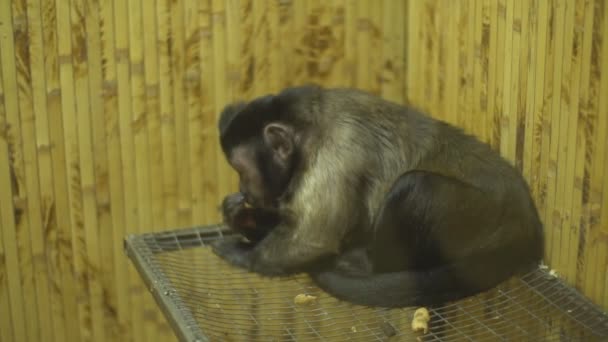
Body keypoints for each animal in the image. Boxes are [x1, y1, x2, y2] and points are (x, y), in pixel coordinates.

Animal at [211, 85, 544, 308]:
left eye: (241, 170)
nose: (244, 188)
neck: (308, 133)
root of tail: (523, 223)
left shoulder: (333, 156)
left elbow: (314, 238)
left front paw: (239, 252)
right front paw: (243, 217)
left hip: (476, 218)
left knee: (415, 185)